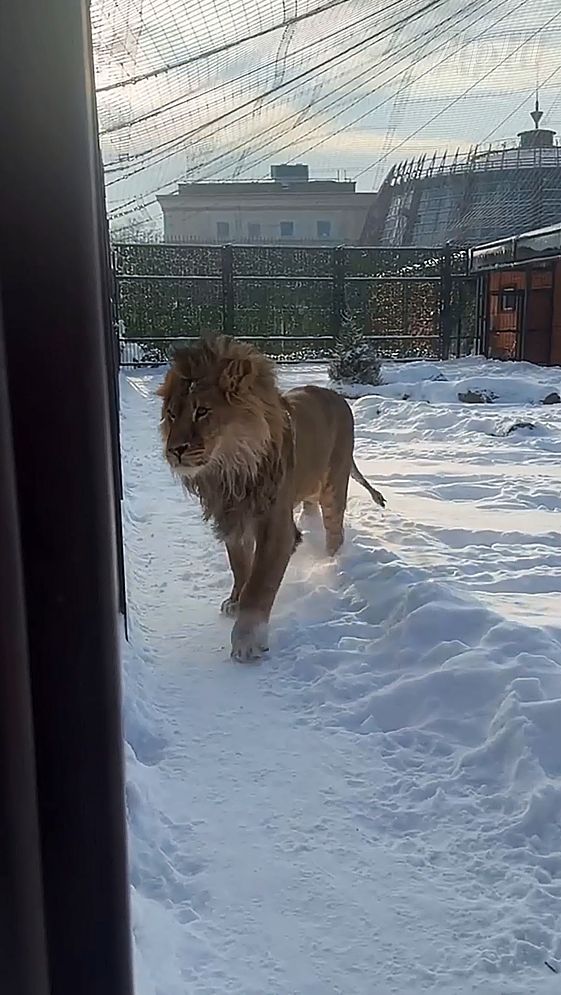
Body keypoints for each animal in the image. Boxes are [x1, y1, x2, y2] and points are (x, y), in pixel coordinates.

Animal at [158, 336, 385, 661]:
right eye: (172, 414)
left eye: (202, 411)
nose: (173, 450)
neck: (230, 471)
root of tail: (339, 398)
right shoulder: (232, 519)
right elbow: (240, 566)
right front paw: (235, 600)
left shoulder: (275, 527)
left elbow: (260, 583)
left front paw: (247, 640)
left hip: (334, 485)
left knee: (335, 533)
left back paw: (331, 565)